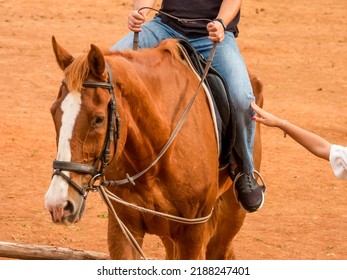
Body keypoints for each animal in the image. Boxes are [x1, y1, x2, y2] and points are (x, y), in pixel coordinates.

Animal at [45, 36, 264, 260]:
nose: (58, 204)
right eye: (53, 112)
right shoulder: (123, 227)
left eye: (99, 119)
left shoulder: (193, 232)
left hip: (231, 214)